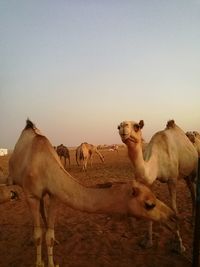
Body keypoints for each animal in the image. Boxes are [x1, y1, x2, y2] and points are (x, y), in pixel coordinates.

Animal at [7, 120, 177, 267]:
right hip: (15, 181)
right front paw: (39, 263)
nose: (172, 216)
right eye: (149, 204)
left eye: (155, 197)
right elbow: (38, 236)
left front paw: (52, 261)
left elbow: (49, 236)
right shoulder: (31, 195)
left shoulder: (55, 194)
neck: (44, 166)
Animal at [118, 119, 198, 253]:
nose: (123, 127)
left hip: (193, 173)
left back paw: (193, 221)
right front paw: (148, 242)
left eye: (137, 126)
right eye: (118, 127)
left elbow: (174, 209)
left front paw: (180, 245)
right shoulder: (151, 182)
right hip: (186, 176)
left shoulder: (172, 180)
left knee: (194, 194)